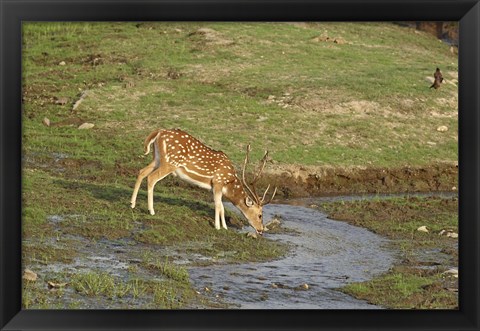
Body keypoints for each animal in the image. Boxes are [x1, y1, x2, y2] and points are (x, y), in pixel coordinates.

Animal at [129, 128, 278, 235]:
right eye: (260, 215)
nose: (261, 230)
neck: (229, 183)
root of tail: (158, 132)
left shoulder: (215, 186)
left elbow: (222, 206)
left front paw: (224, 226)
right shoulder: (218, 181)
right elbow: (218, 205)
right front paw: (218, 227)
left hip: (157, 158)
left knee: (142, 172)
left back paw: (132, 204)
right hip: (170, 162)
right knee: (151, 178)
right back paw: (151, 210)